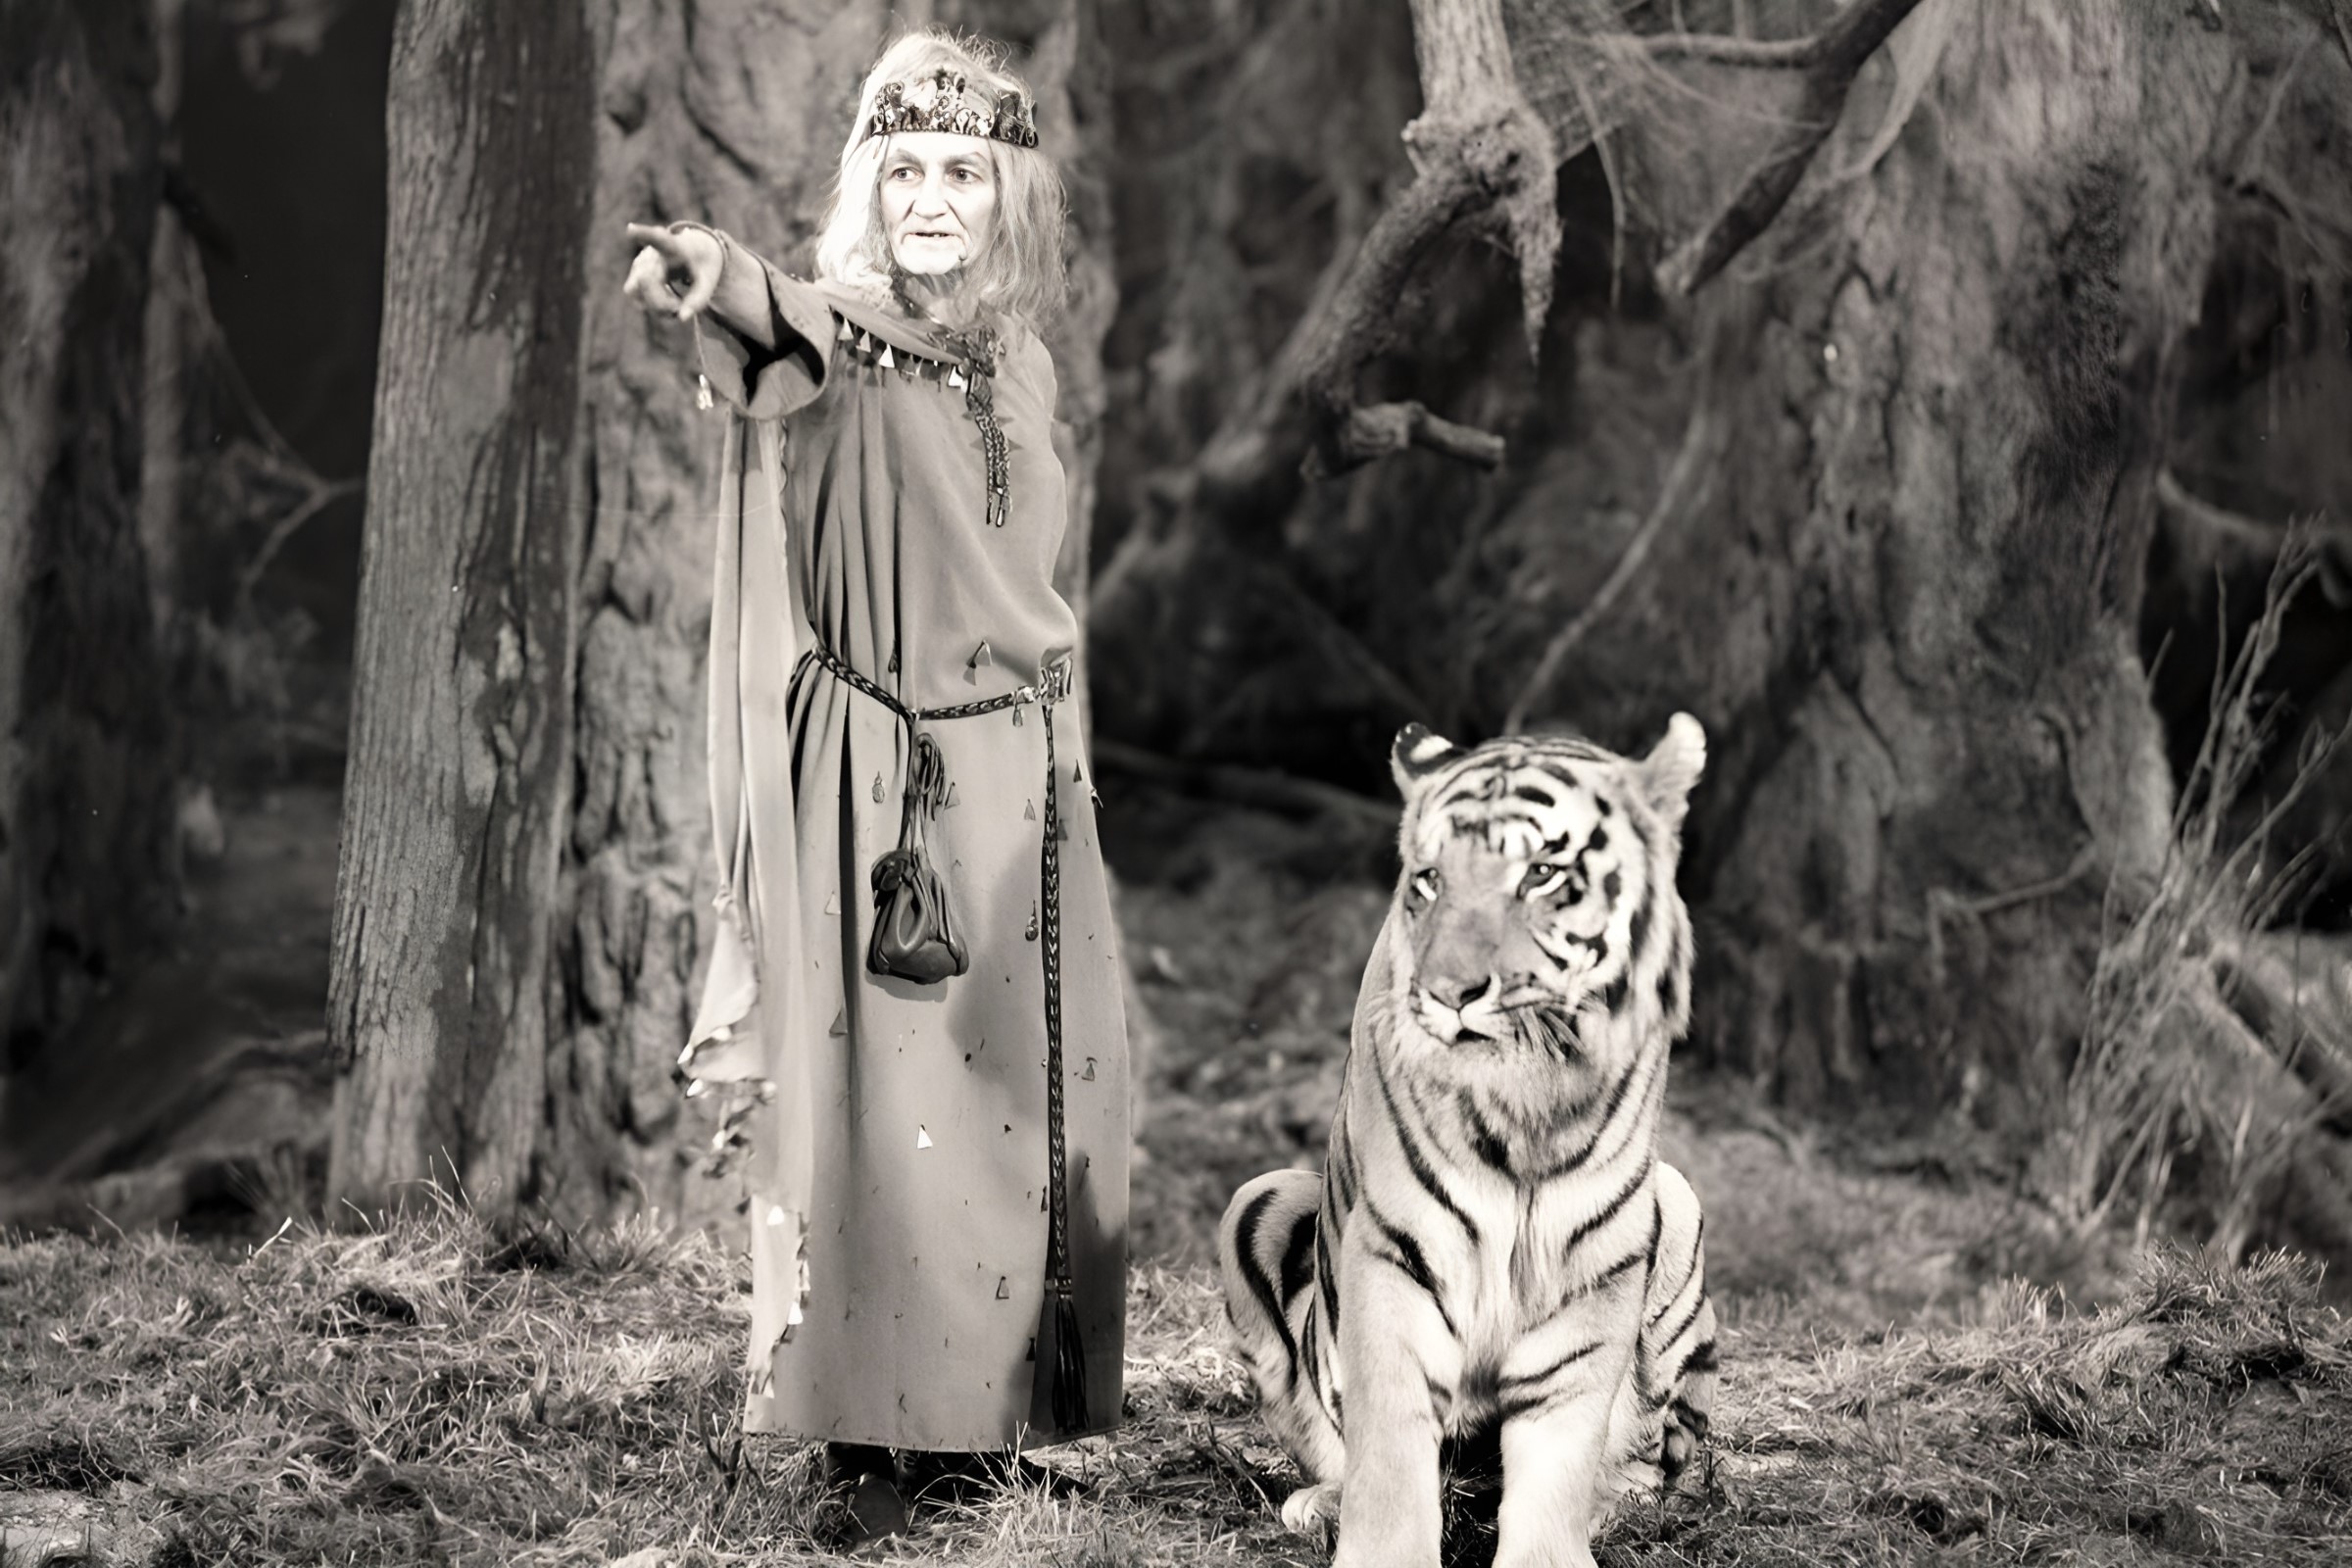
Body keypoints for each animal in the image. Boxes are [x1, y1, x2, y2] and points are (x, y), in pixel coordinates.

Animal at [1217, 717, 1718, 1568]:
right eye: (1430, 880)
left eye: (1543, 874)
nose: (1451, 994)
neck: (1528, 1101)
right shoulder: (1396, 1251)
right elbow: (1390, 1446)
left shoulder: (1593, 1269)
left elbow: (1561, 1454)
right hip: (1255, 1200)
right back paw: (1320, 1504)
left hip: (1674, 1204)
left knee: (1657, 1459)